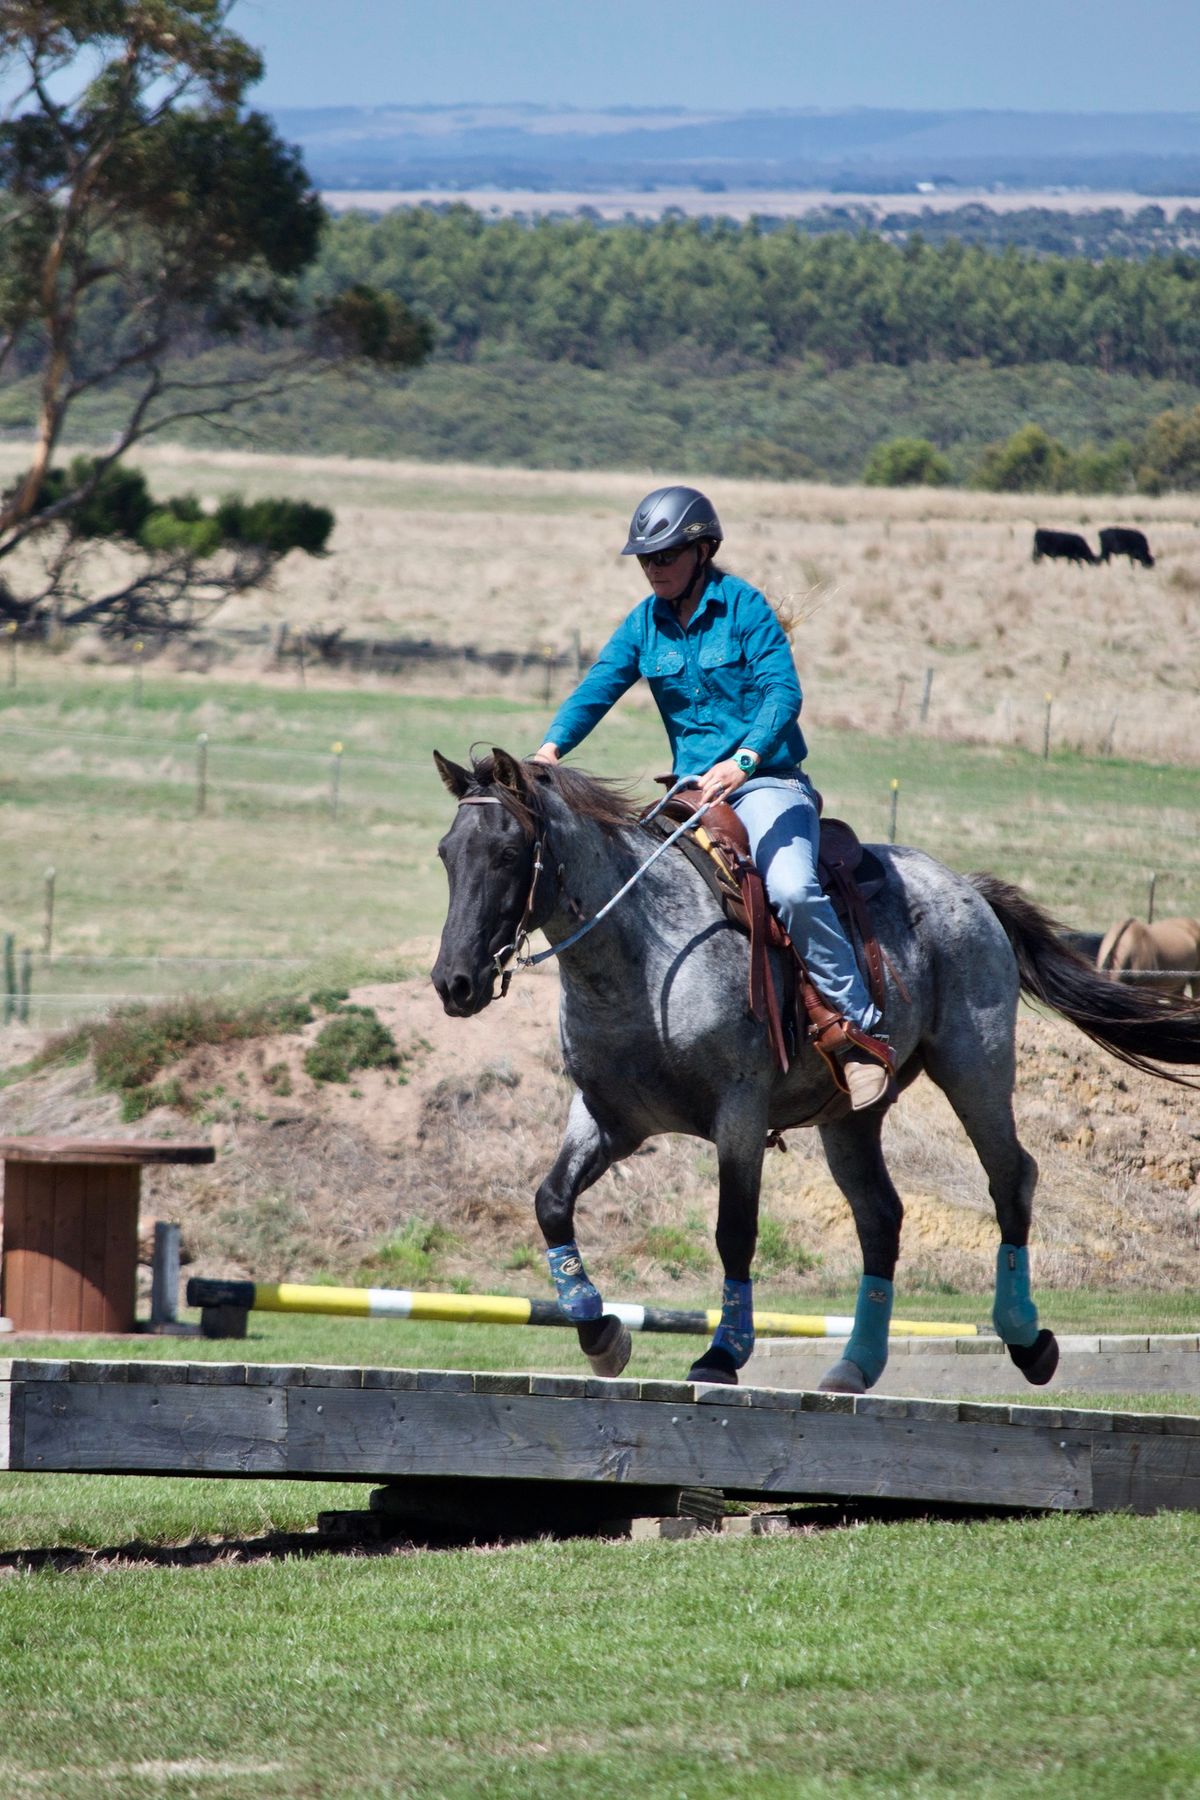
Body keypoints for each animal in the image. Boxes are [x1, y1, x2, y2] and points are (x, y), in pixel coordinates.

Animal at [431, 748, 1200, 1389]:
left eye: (508, 852)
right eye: (446, 852)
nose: (454, 982)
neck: (644, 955)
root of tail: (967, 889)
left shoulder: (739, 1114)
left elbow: (734, 1232)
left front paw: (722, 1353)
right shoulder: (609, 1117)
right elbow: (551, 1202)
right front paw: (601, 1334)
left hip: (976, 1067)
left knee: (1011, 1178)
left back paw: (1027, 1339)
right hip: (851, 1118)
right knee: (881, 1218)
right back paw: (855, 1365)